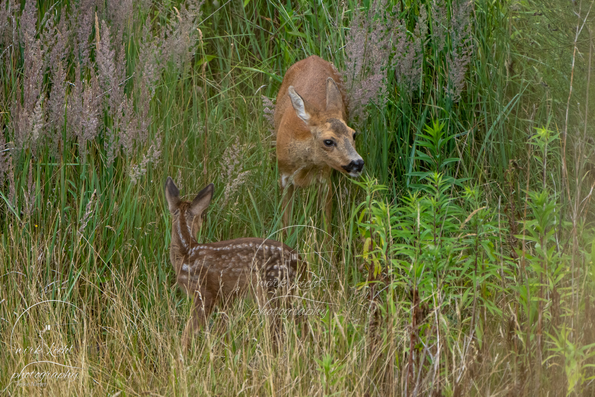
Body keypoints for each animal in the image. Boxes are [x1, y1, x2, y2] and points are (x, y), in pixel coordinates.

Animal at [163, 178, 300, 348]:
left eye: (202, 215)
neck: (186, 251)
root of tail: (300, 262)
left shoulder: (205, 291)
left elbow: (191, 329)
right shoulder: (226, 297)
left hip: (270, 287)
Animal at [274, 55, 364, 229]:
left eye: (354, 134)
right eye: (328, 141)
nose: (357, 163)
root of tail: (313, 57)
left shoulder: (325, 179)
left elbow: (326, 225)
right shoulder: (283, 177)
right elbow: (285, 224)